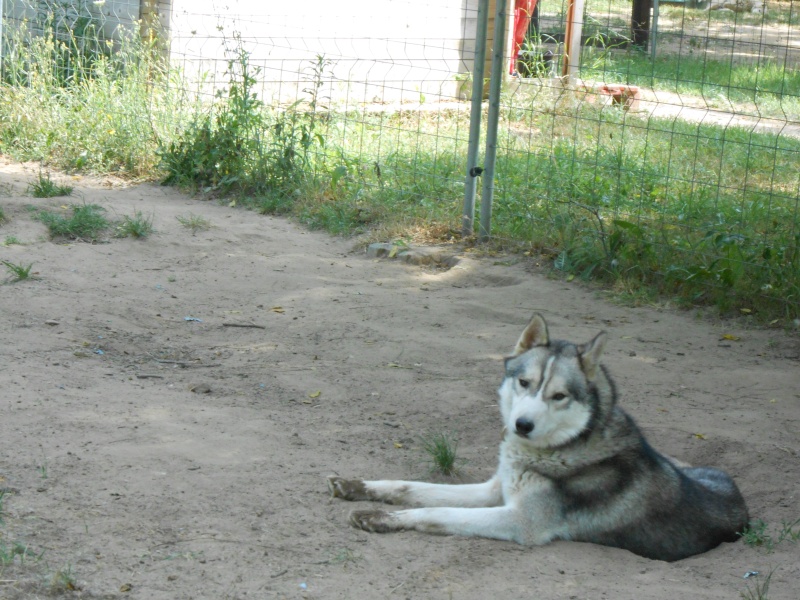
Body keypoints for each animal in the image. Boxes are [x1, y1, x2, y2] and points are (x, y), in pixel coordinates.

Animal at [330, 314, 752, 564]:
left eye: (559, 395)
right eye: (524, 382)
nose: (522, 425)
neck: (560, 448)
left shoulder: (521, 521)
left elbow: (438, 512)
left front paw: (377, 517)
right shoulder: (494, 490)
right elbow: (413, 487)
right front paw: (356, 487)